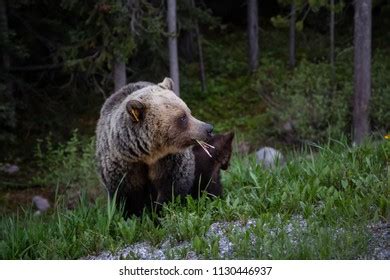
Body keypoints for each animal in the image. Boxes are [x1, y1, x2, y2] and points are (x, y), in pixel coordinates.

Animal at [96, 78, 213, 217]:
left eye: (189, 112)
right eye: (182, 117)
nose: (208, 128)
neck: (149, 154)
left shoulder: (169, 161)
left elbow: (172, 187)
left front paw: (162, 212)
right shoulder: (124, 165)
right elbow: (127, 196)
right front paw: (134, 215)